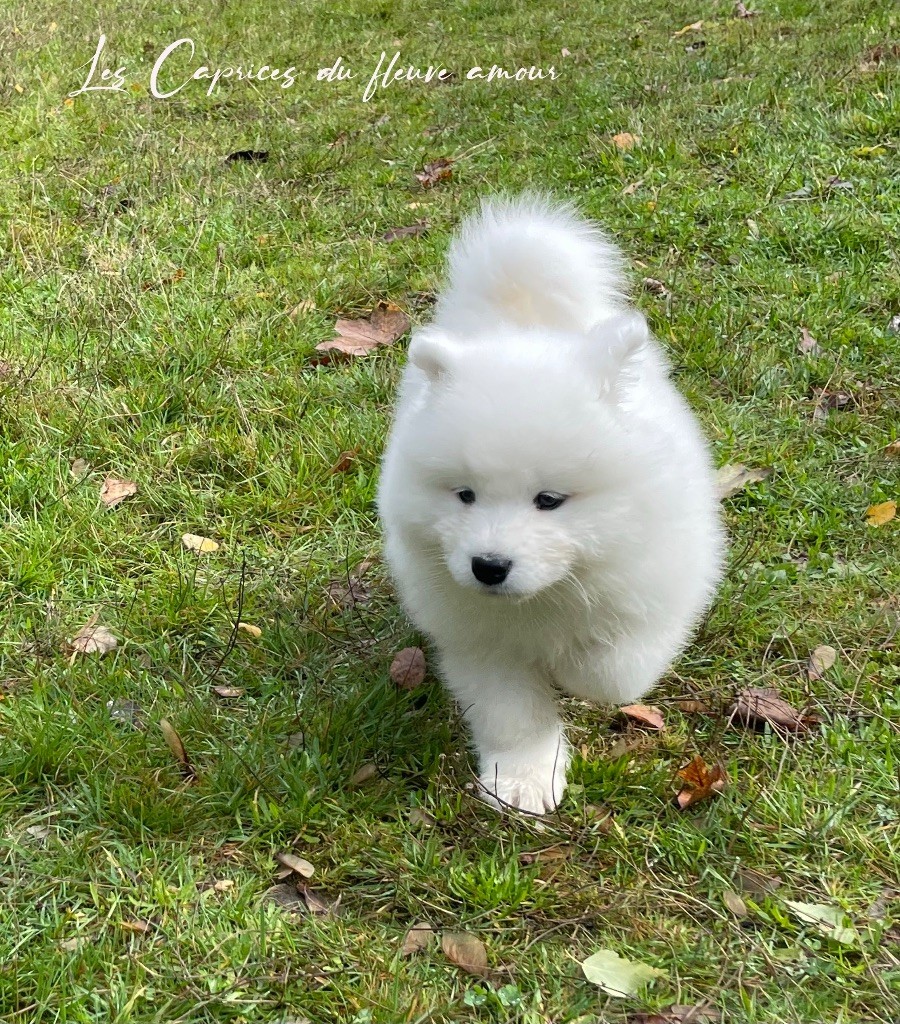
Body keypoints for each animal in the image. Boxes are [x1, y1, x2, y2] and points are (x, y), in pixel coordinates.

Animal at [378, 195, 725, 813]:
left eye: (550, 500)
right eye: (464, 495)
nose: (488, 567)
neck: (546, 597)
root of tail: (527, 318)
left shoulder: (659, 589)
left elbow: (611, 670)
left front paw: (574, 671)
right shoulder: (478, 639)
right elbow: (511, 714)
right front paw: (524, 781)